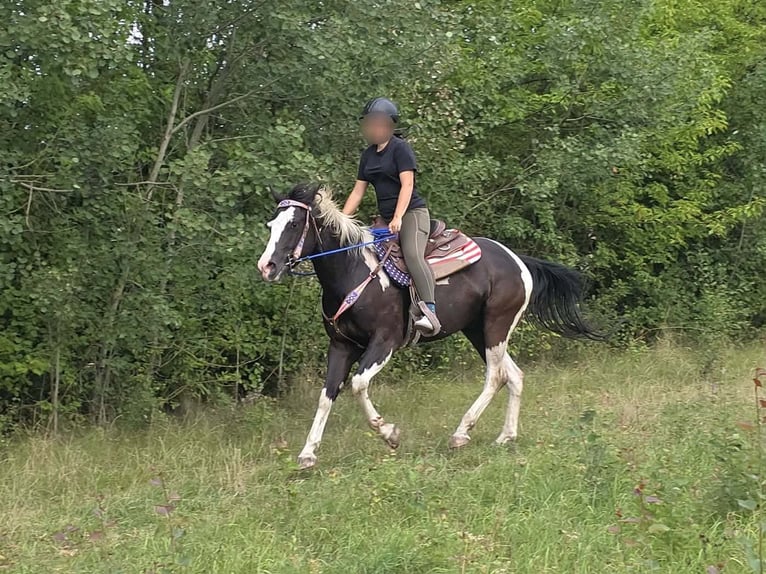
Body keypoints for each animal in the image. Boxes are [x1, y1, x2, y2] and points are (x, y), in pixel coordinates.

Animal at [257, 183, 601, 469]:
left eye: (294, 224)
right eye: (272, 225)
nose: (267, 267)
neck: (353, 271)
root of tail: (517, 261)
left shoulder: (384, 343)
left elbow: (358, 384)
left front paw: (390, 434)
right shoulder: (342, 346)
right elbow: (327, 395)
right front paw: (308, 453)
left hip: (496, 326)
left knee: (496, 377)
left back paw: (461, 433)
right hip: (478, 331)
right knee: (514, 376)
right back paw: (506, 437)